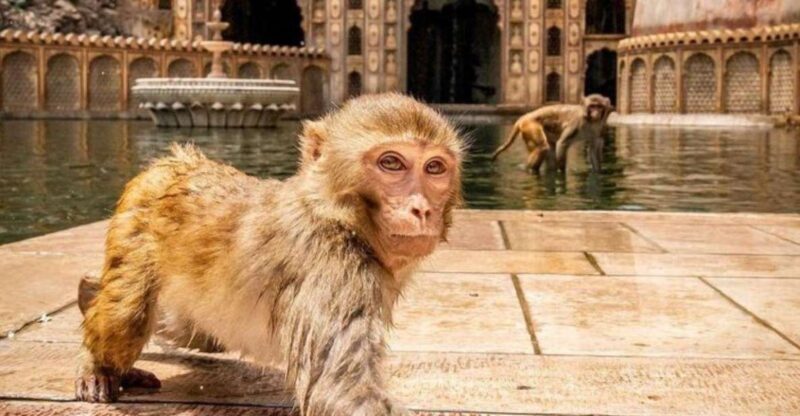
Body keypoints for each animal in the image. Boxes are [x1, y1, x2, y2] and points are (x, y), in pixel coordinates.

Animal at [75, 92, 464, 416]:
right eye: (392, 163)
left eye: (434, 167)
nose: (421, 209)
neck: (338, 215)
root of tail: (175, 161)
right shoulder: (332, 266)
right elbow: (342, 394)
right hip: (136, 223)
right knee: (129, 315)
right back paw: (98, 360)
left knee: (189, 331)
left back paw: (87, 290)